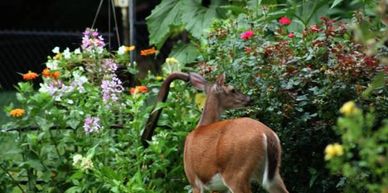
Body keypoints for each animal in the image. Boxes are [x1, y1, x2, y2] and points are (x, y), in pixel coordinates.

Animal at [142, 72, 288, 193]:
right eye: (233, 89)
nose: (249, 99)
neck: (201, 125)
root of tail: (267, 134)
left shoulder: (194, 179)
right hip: (271, 174)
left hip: (236, 173)